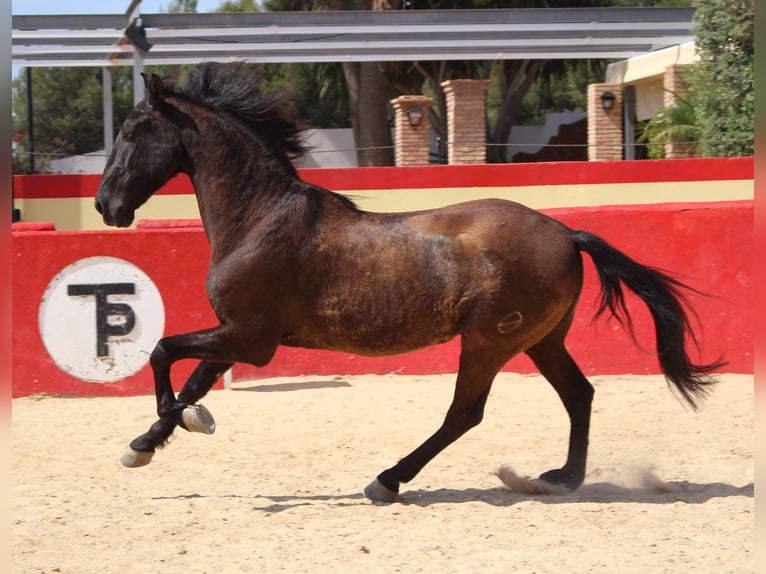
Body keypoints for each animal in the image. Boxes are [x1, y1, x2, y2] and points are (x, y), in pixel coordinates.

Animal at [95, 62, 722, 503]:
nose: (105, 205)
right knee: (579, 394)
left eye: (131, 129)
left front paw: (180, 421)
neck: (259, 217)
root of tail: (567, 232)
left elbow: (163, 352)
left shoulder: (252, 338)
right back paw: (561, 478)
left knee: (465, 414)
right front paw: (145, 444)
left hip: (490, 340)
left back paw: (389, 480)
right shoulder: (235, 334)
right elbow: (194, 377)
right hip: (542, 339)